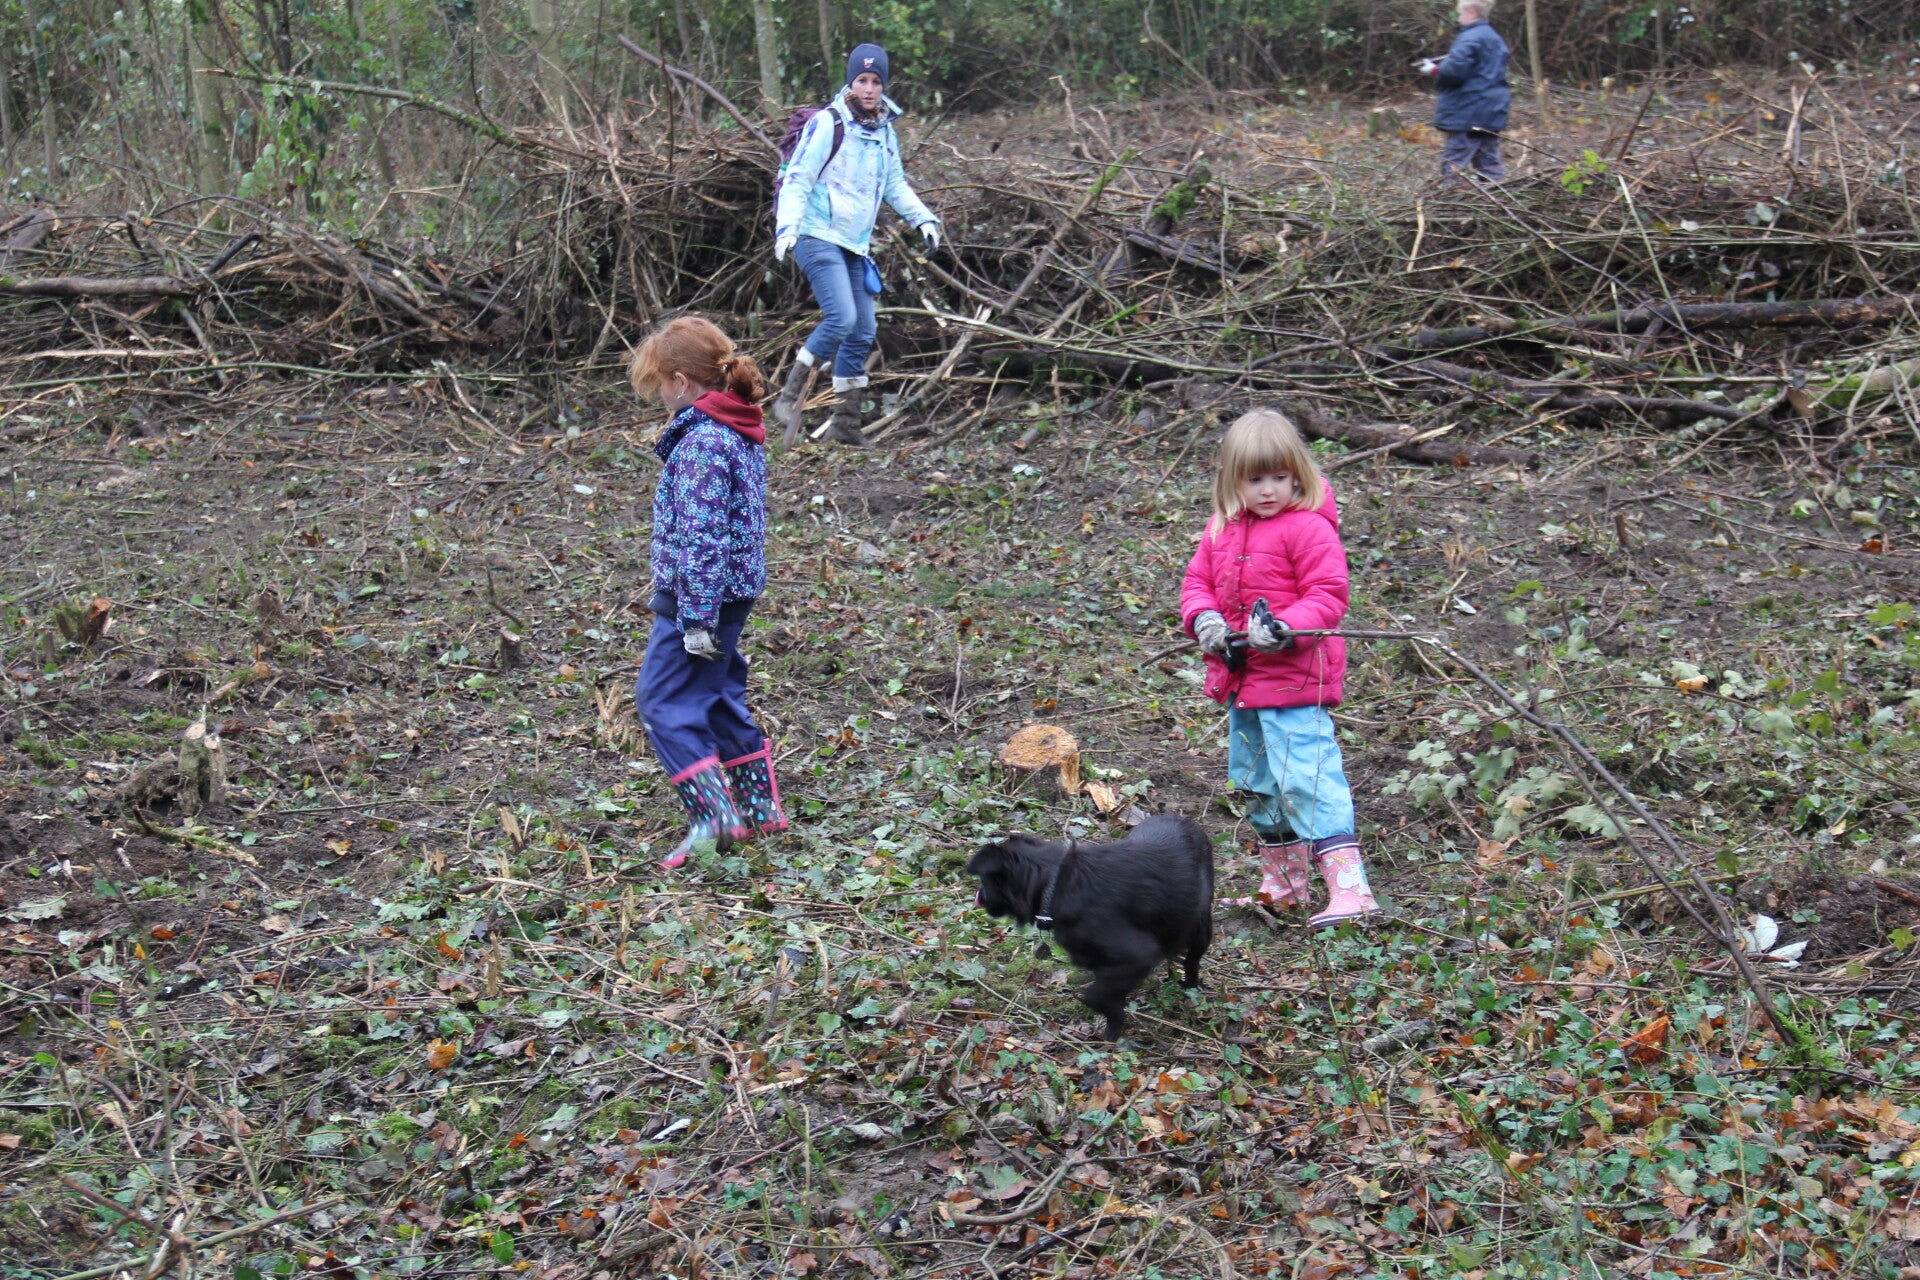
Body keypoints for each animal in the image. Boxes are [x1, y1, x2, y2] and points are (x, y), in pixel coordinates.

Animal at [965, 814, 1214, 1041]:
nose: (978, 895)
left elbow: (1095, 996)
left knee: (1192, 961)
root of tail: (1188, 821)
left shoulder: (1137, 956)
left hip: (1200, 926)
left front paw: (1112, 1033)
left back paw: (1189, 987)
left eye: (984, 881)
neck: (1055, 883)